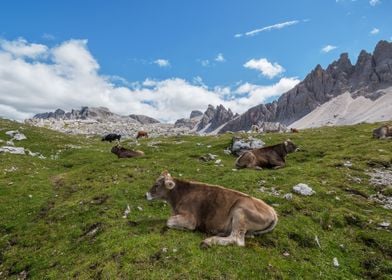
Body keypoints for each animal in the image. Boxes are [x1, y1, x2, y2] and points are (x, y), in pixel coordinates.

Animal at [145, 171, 278, 247]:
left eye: (156, 185)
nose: (146, 195)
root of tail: (272, 211)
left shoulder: (190, 219)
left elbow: (169, 221)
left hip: (240, 211)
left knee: (237, 240)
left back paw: (209, 241)